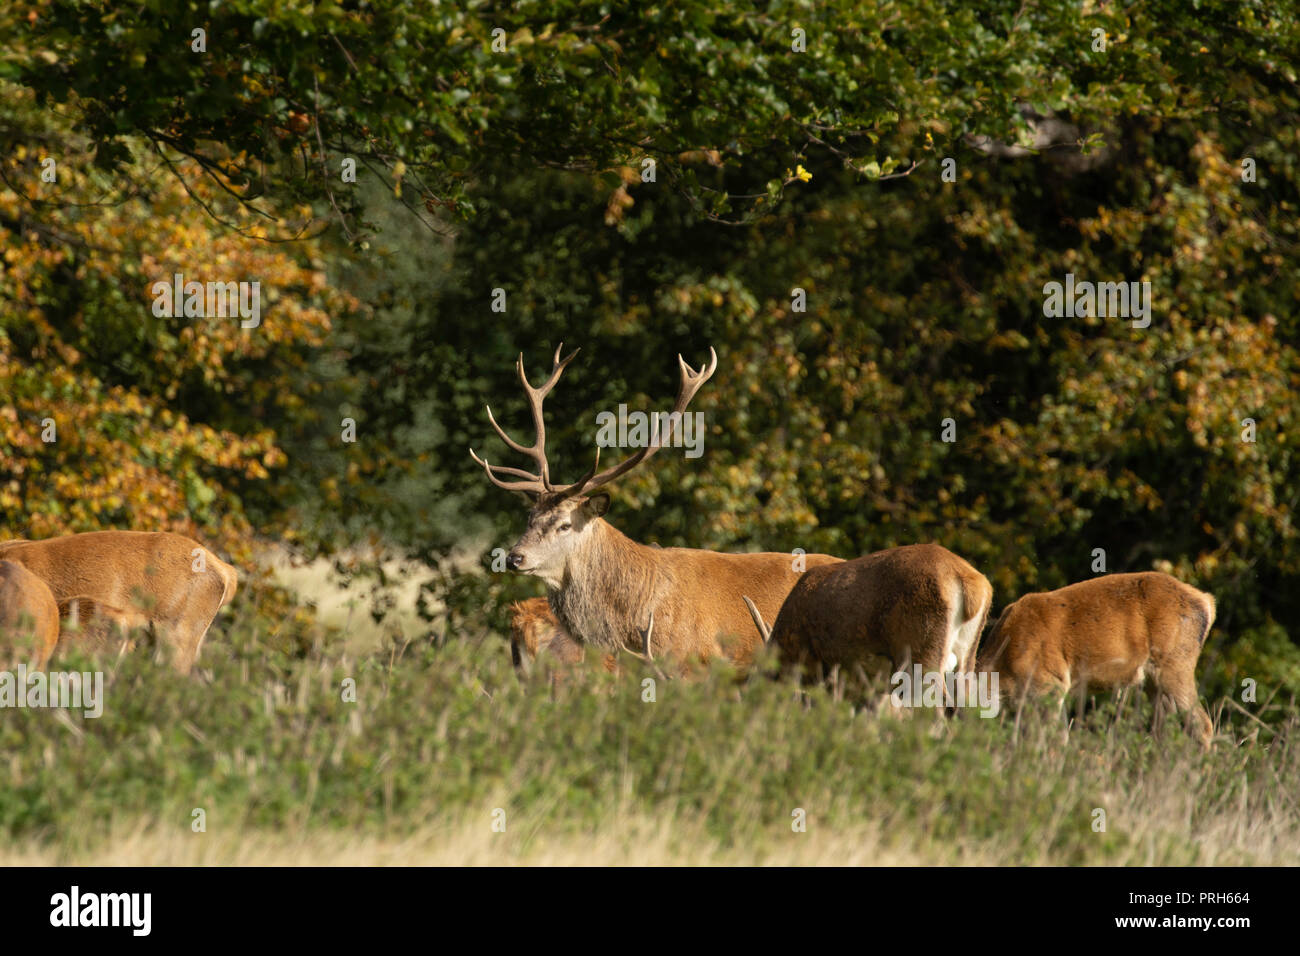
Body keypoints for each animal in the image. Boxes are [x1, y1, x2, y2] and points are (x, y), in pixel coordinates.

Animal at [975, 572, 1216, 749]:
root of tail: (1207, 602)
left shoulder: (1049, 683)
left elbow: (1052, 740)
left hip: (1174, 663)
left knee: (1202, 725)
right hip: (1154, 681)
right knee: (1167, 728)